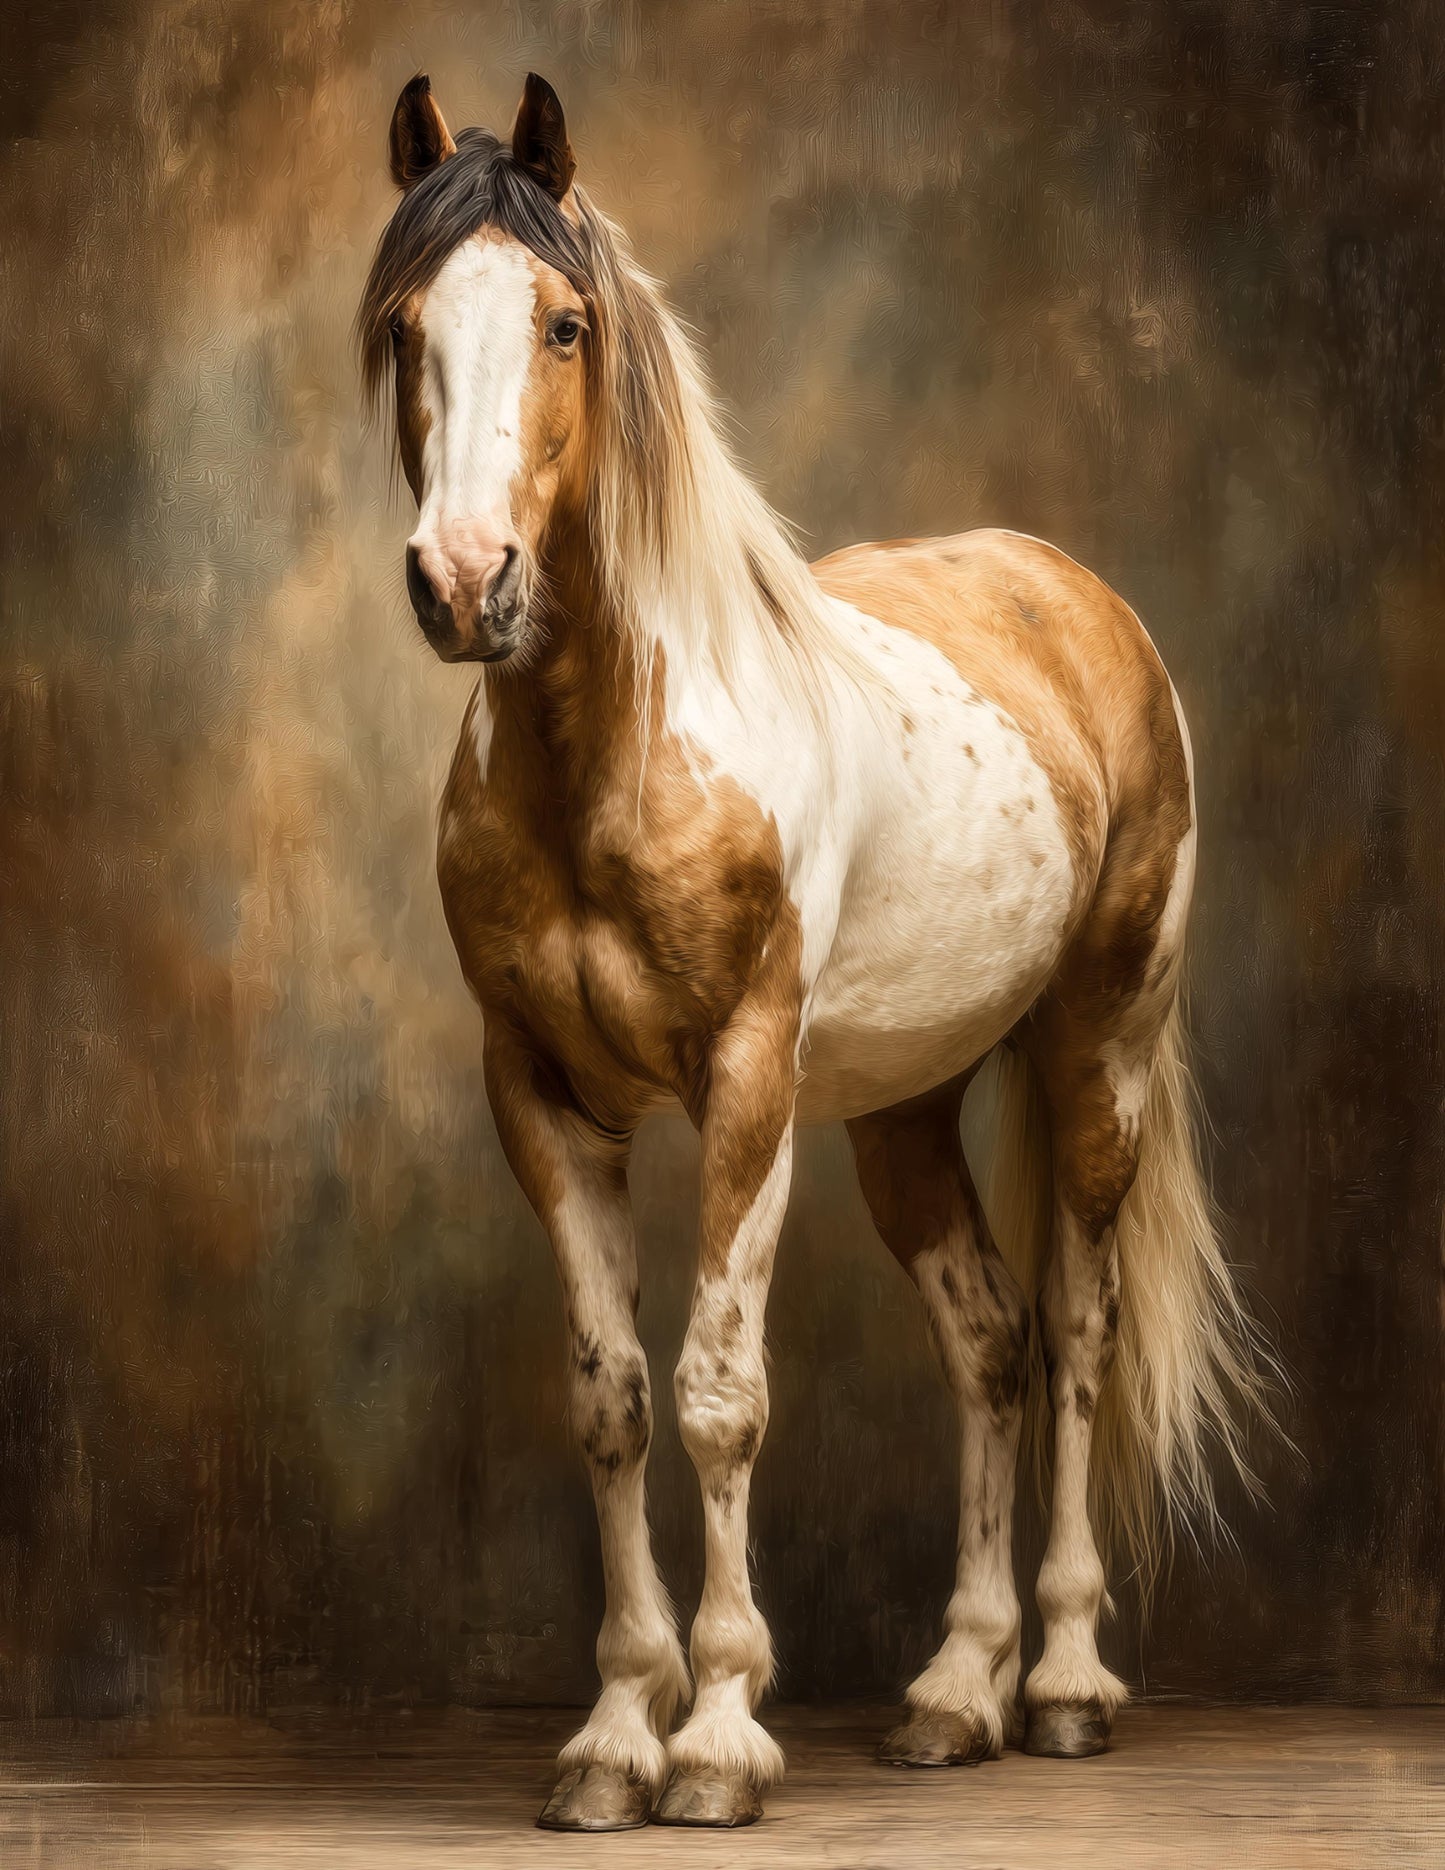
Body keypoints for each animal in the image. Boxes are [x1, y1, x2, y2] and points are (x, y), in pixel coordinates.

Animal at [358, 72, 1268, 1832]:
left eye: (565, 323)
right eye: (403, 325)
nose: (464, 580)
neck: (613, 751)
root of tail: (1075, 594)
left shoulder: (745, 1085)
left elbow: (721, 1394)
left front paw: (716, 1737)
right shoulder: (540, 1095)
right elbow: (611, 1397)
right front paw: (613, 1736)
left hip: (1097, 1058)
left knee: (1079, 1334)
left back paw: (1061, 1681)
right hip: (903, 1109)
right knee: (988, 1338)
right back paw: (951, 1692)